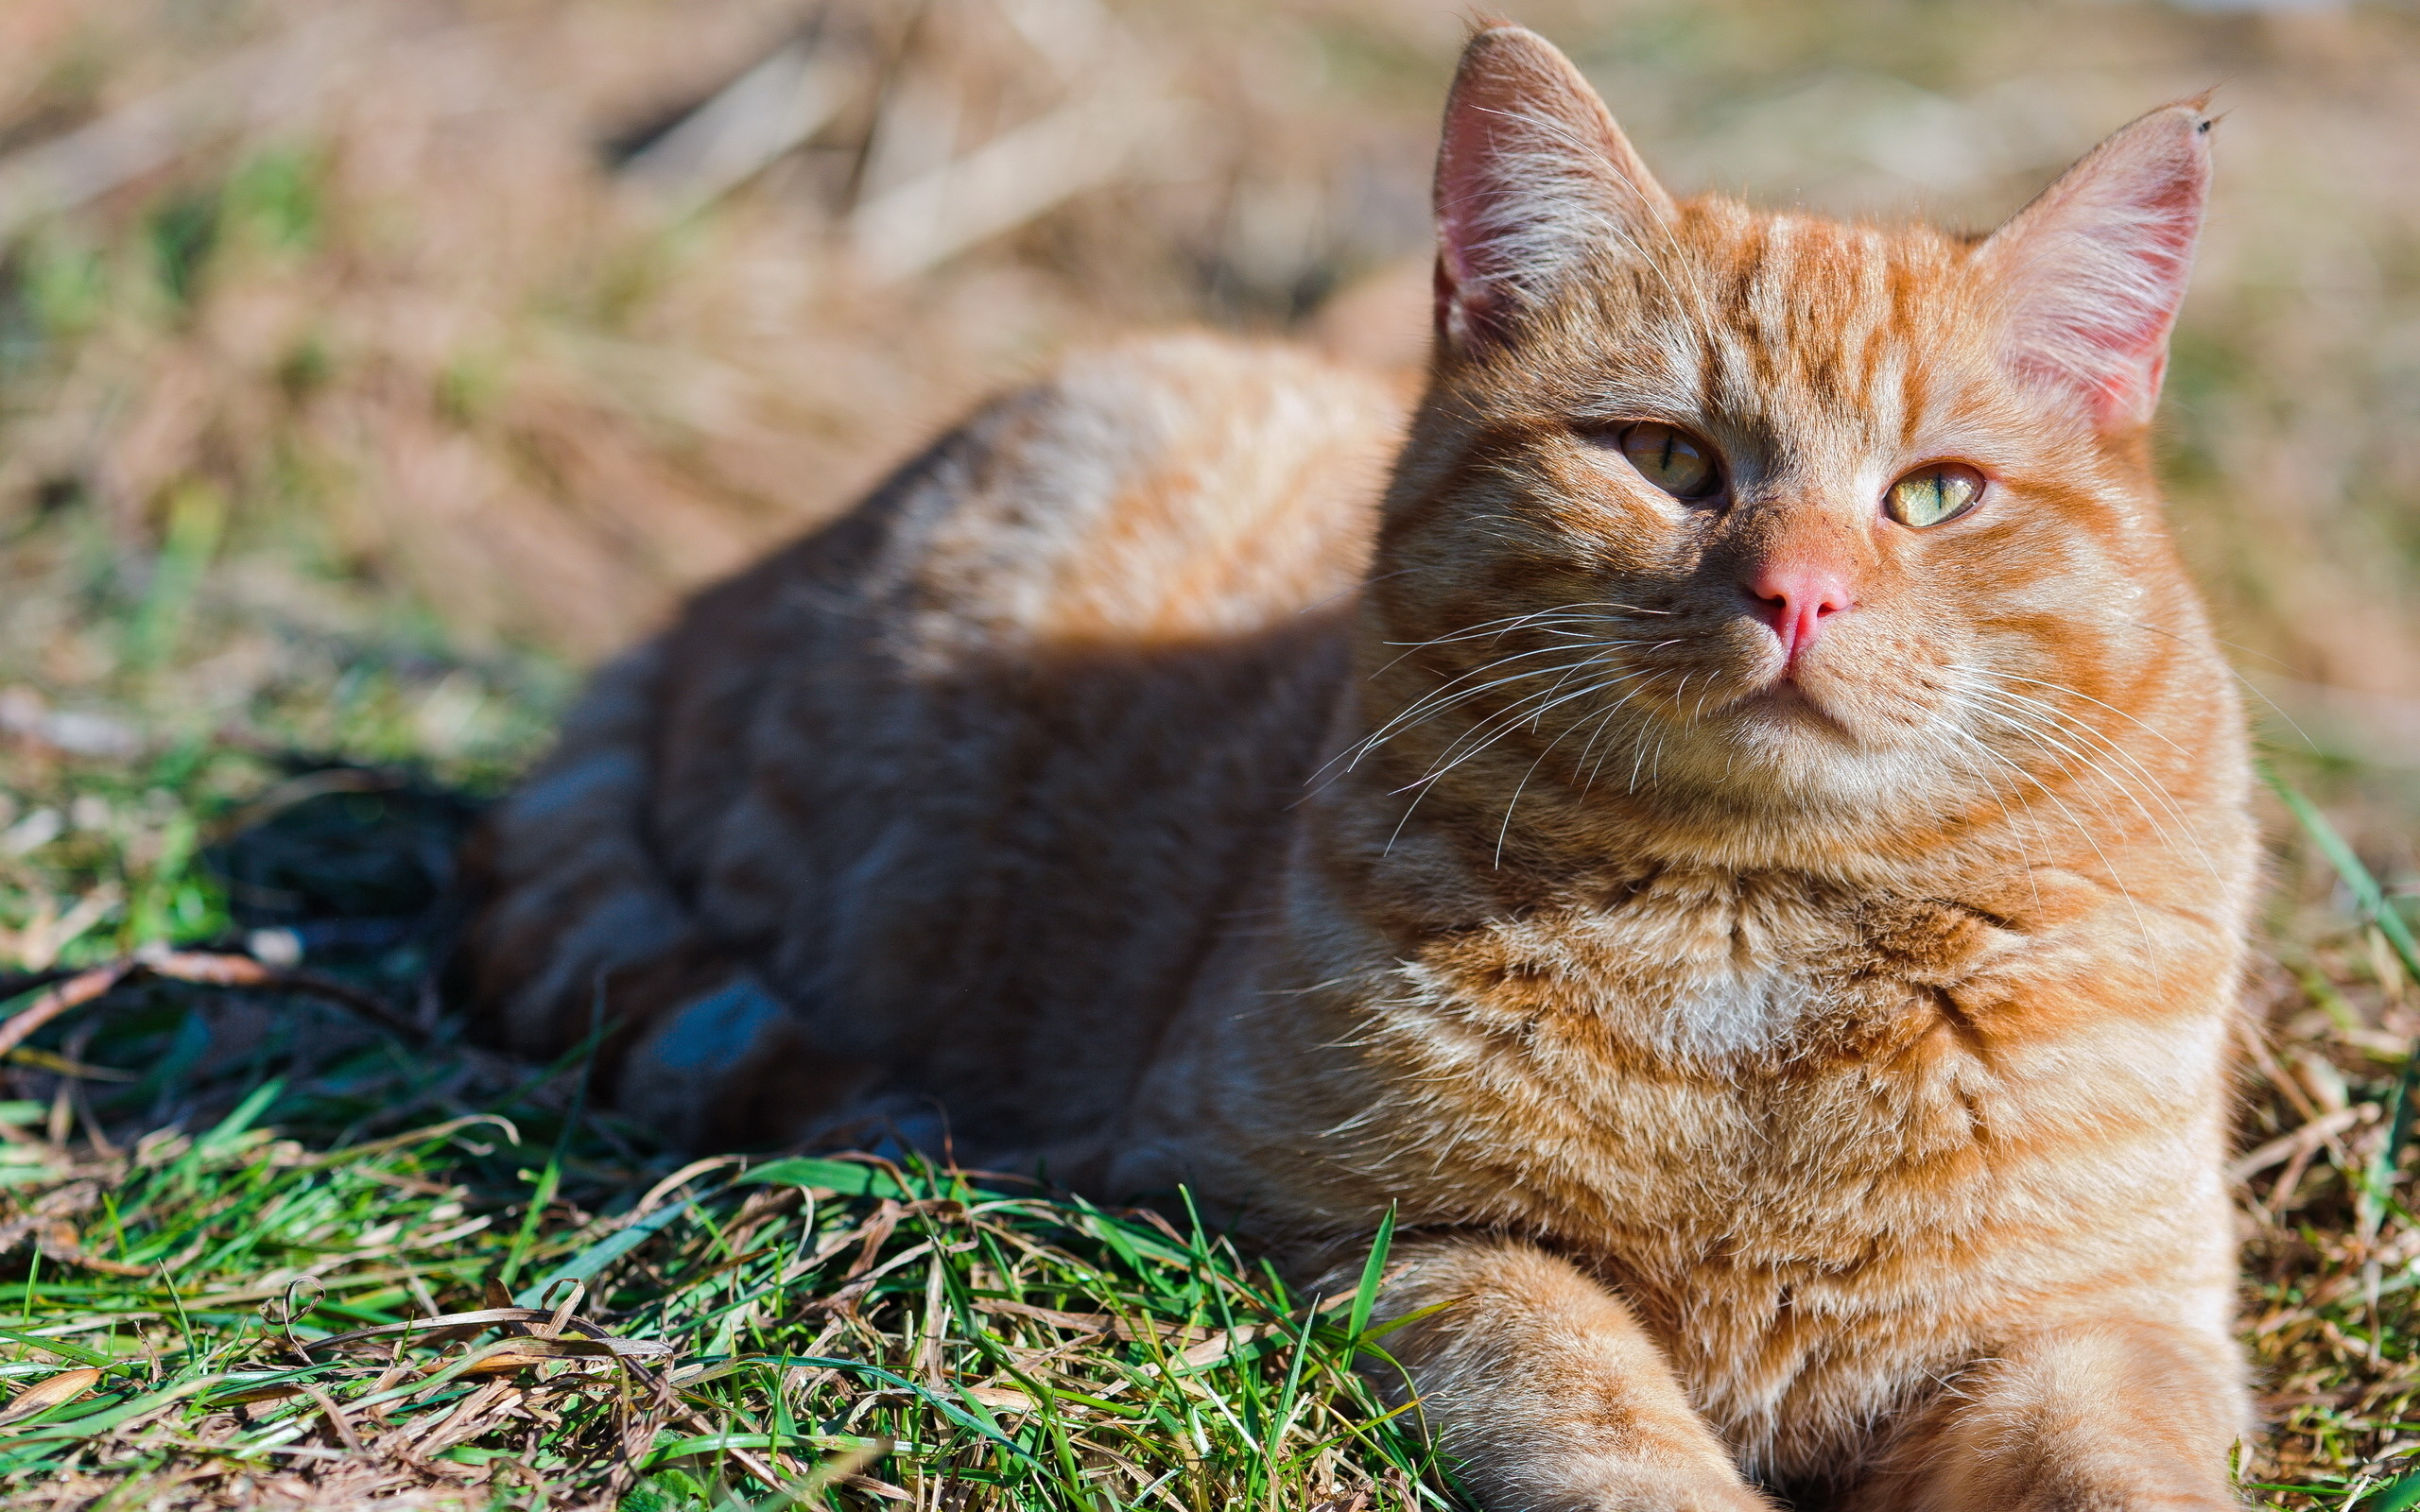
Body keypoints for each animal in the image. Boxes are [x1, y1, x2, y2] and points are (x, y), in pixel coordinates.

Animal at [450, 23, 2245, 1509]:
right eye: (1670, 461)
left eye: (1934, 496)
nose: (1798, 592)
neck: (1765, 929)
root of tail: (716, 591)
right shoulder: (1344, 1227)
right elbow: (1594, 1405)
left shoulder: (2107, 1330)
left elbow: (2116, 1473)